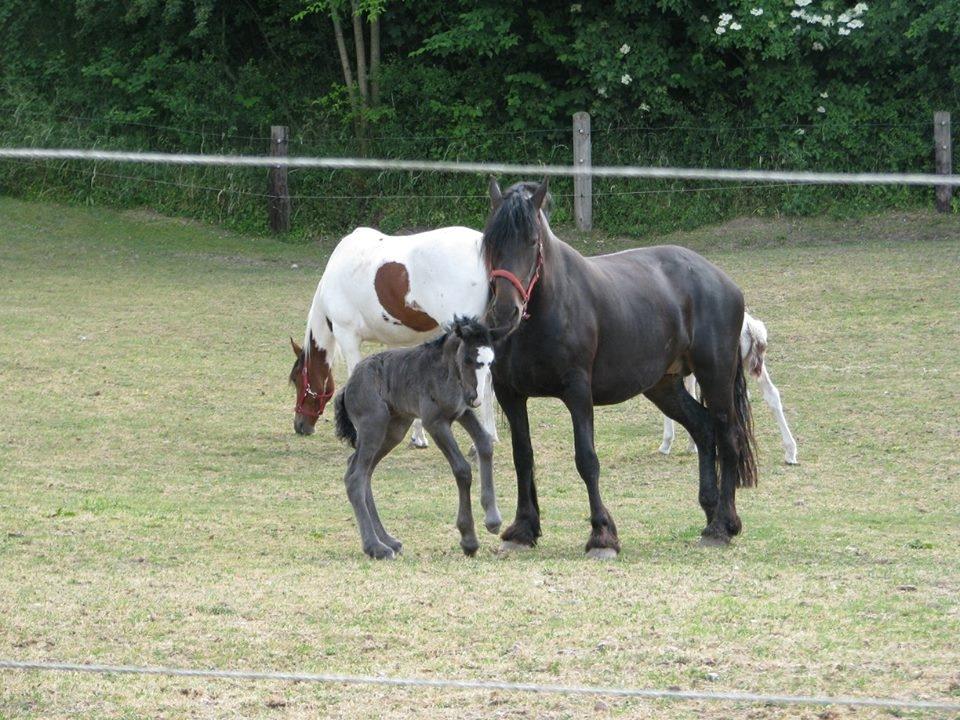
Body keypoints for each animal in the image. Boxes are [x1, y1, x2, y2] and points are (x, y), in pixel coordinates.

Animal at [484, 180, 752, 556]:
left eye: (533, 241)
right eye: (489, 241)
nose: (504, 312)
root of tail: (722, 280)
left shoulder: (577, 392)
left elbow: (586, 459)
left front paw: (602, 534)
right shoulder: (510, 394)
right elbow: (522, 457)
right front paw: (523, 529)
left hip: (716, 376)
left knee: (728, 437)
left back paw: (722, 525)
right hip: (664, 386)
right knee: (703, 429)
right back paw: (711, 511)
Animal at [656, 312, 800, 464]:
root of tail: (752, 327)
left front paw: (667, 443)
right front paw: (689, 445)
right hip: (751, 365)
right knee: (771, 394)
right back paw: (790, 452)